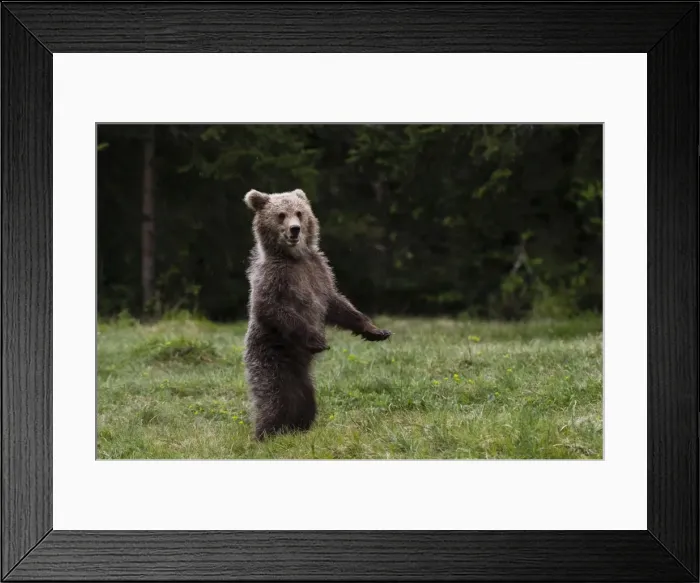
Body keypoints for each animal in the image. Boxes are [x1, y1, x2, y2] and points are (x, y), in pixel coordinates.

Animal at [242, 188, 392, 440]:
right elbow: (271, 308)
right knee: (276, 397)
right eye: (281, 215)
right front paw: (317, 339)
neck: (294, 257)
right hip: (272, 355)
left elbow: (337, 304)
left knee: (304, 400)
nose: (295, 229)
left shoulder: (319, 271)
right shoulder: (274, 277)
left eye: (299, 213)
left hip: (301, 374)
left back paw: (299, 427)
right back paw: (266, 433)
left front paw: (374, 330)